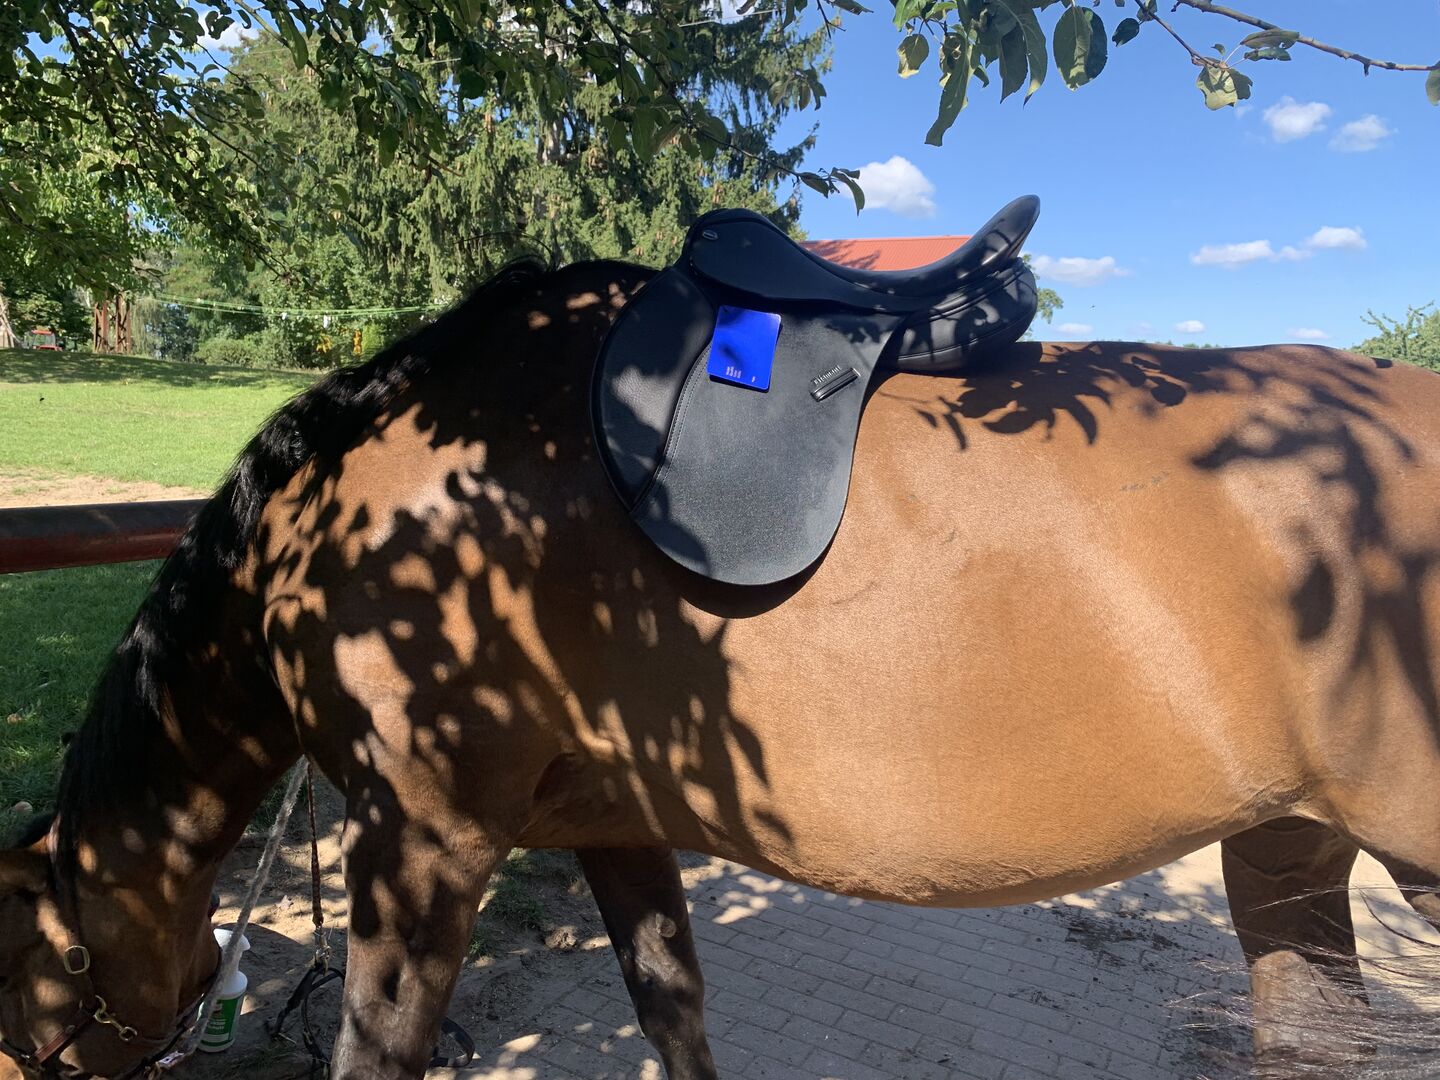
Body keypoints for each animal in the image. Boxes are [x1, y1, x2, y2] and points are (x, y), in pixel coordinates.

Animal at [2, 257, 1439, 1080]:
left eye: (33, 970)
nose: (30, 1070)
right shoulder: (613, 822)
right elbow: (673, 1012)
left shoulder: (423, 837)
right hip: (1289, 847)